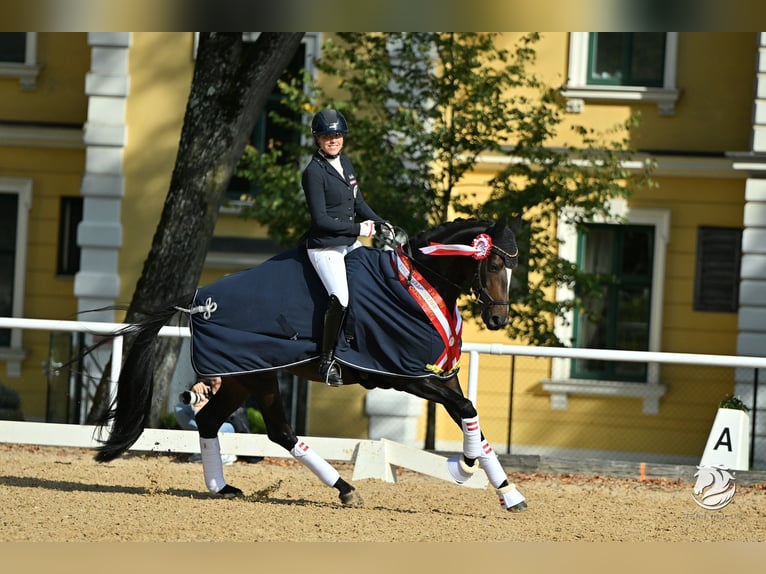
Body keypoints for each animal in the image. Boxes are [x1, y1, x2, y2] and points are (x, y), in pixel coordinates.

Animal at [93, 217, 528, 512]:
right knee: (279, 431)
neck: (415, 285)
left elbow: (472, 417)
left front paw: (508, 492)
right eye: (492, 266)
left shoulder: (440, 375)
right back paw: (345, 489)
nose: (498, 320)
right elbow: (466, 409)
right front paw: (463, 467)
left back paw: (222, 487)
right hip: (260, 376)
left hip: (241, 377)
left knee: (212, 421)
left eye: (513, 268)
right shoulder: (405, 376)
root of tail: (200, 300)